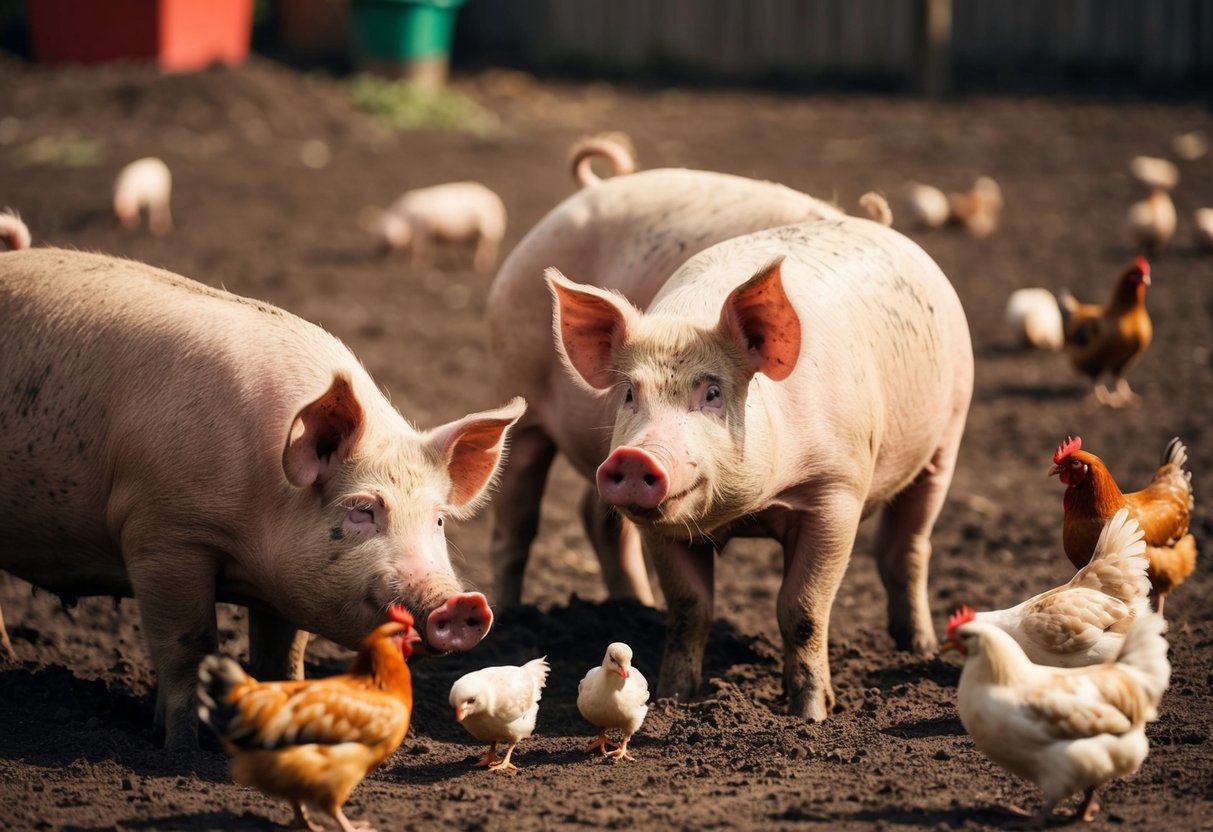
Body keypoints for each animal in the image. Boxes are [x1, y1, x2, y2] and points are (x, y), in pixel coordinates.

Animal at [0, 247, 523, 748]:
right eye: (362, 510)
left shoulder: (285, 587)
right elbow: (190, 647)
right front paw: (183, 748)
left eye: (438, 520)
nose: (462, 602)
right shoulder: (161, 535)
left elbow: (283, 658)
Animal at [377, 181, 507, 273]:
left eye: (387, 235)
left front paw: (416, 267)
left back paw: (481, 267)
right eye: (379, 235)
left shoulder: (423, 229)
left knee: (487, 247)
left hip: (488, 228)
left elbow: (420, 248)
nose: (381, 256)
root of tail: (497, 201)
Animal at [543, 217, 973, 720]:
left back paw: (919, 649)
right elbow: (689, 609)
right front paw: (673, 700)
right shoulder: (663, 530)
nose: (635, 456)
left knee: (910, 546)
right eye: (630, 393)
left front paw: (811, 715)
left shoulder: (836, 492)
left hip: (948, 432)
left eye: (712, 392)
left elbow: (802, 610)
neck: (750, 512)